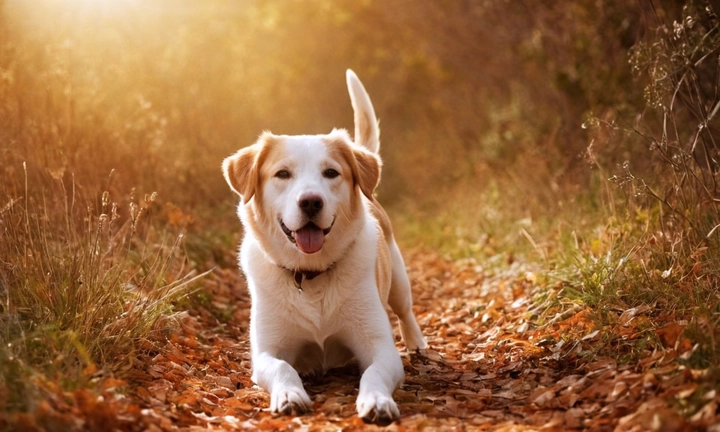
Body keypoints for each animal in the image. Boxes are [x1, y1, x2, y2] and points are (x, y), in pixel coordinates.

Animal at [222, 69, 424, 424]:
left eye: (331, 172)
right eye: (282, 174)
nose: (311, 202)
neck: (310, 275)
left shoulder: (380, 347)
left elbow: (373, 372)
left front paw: (376, 400)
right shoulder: (265, 351)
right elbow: (283, 367)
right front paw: (290, 394)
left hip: (398, 280)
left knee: (405, 311)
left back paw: (418, 345)